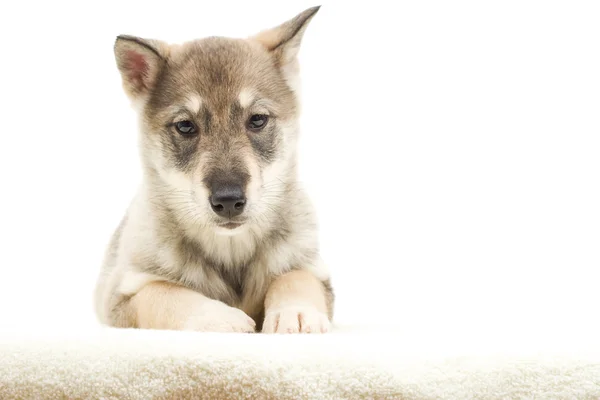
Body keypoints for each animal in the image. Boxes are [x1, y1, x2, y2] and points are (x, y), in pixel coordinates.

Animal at [96, 6, 336, 332]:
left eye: (257, 120)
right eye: (186, 126)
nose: (228, 200)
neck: (230, 246)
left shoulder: (314, 268)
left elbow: (294, 277)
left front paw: (297, 312)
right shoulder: (124, 292)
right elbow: (166, 293)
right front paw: (218, 317)